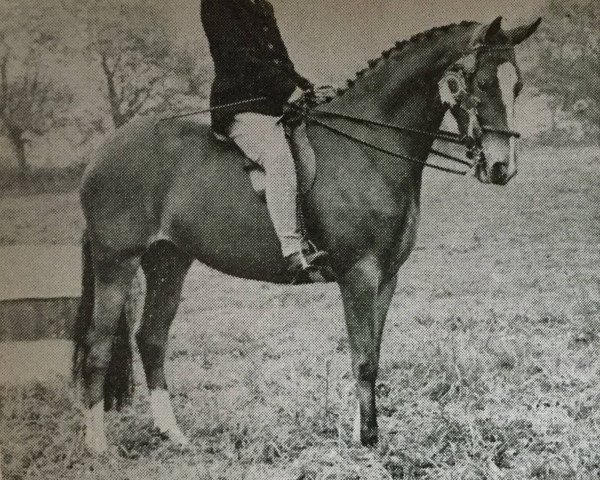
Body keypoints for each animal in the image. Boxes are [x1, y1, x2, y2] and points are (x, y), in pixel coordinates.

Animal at [72, 17, 540, 454]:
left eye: (516, 84)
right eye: (482, 81)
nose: (502, 167)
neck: (368, 145)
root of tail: (103, 151)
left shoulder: (387, 277)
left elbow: (373, 354)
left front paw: (365, 434)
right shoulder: (360, 274)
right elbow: (363, 359)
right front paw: (368, 440)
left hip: (169, 261)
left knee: (151, 339)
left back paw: (173, 435)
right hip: (116, 263)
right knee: (97, 347)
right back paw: (98, 446)